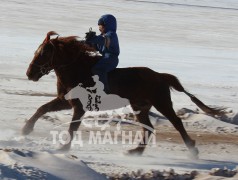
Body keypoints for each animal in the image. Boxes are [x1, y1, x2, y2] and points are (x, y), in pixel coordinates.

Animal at [23, 30, 226, 156]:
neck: (77, 70)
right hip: (140, 106)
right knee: (148, 127)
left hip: (161, 102)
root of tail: (160, 76)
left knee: (176, 122)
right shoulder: (65, 101)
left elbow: (72, 127)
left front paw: (63, 148)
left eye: (44, 52)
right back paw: (135, 151)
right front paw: (26, 129)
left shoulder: (79, 107)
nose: (29, 73)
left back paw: (192, 149)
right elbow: (42, 108)